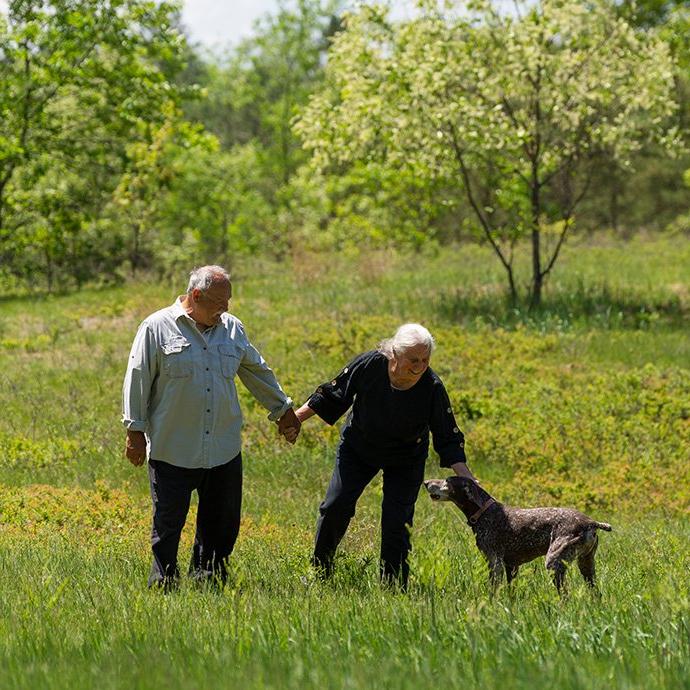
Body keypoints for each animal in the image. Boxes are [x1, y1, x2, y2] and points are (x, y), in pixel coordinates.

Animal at [422, 472, 612, 592]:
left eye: (447, 481)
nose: (425, 483)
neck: (484, 512)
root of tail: (590, 522)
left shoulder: (495, 562)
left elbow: (493, 592)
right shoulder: (511, 567)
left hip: (554, 562)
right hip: (586, 565)